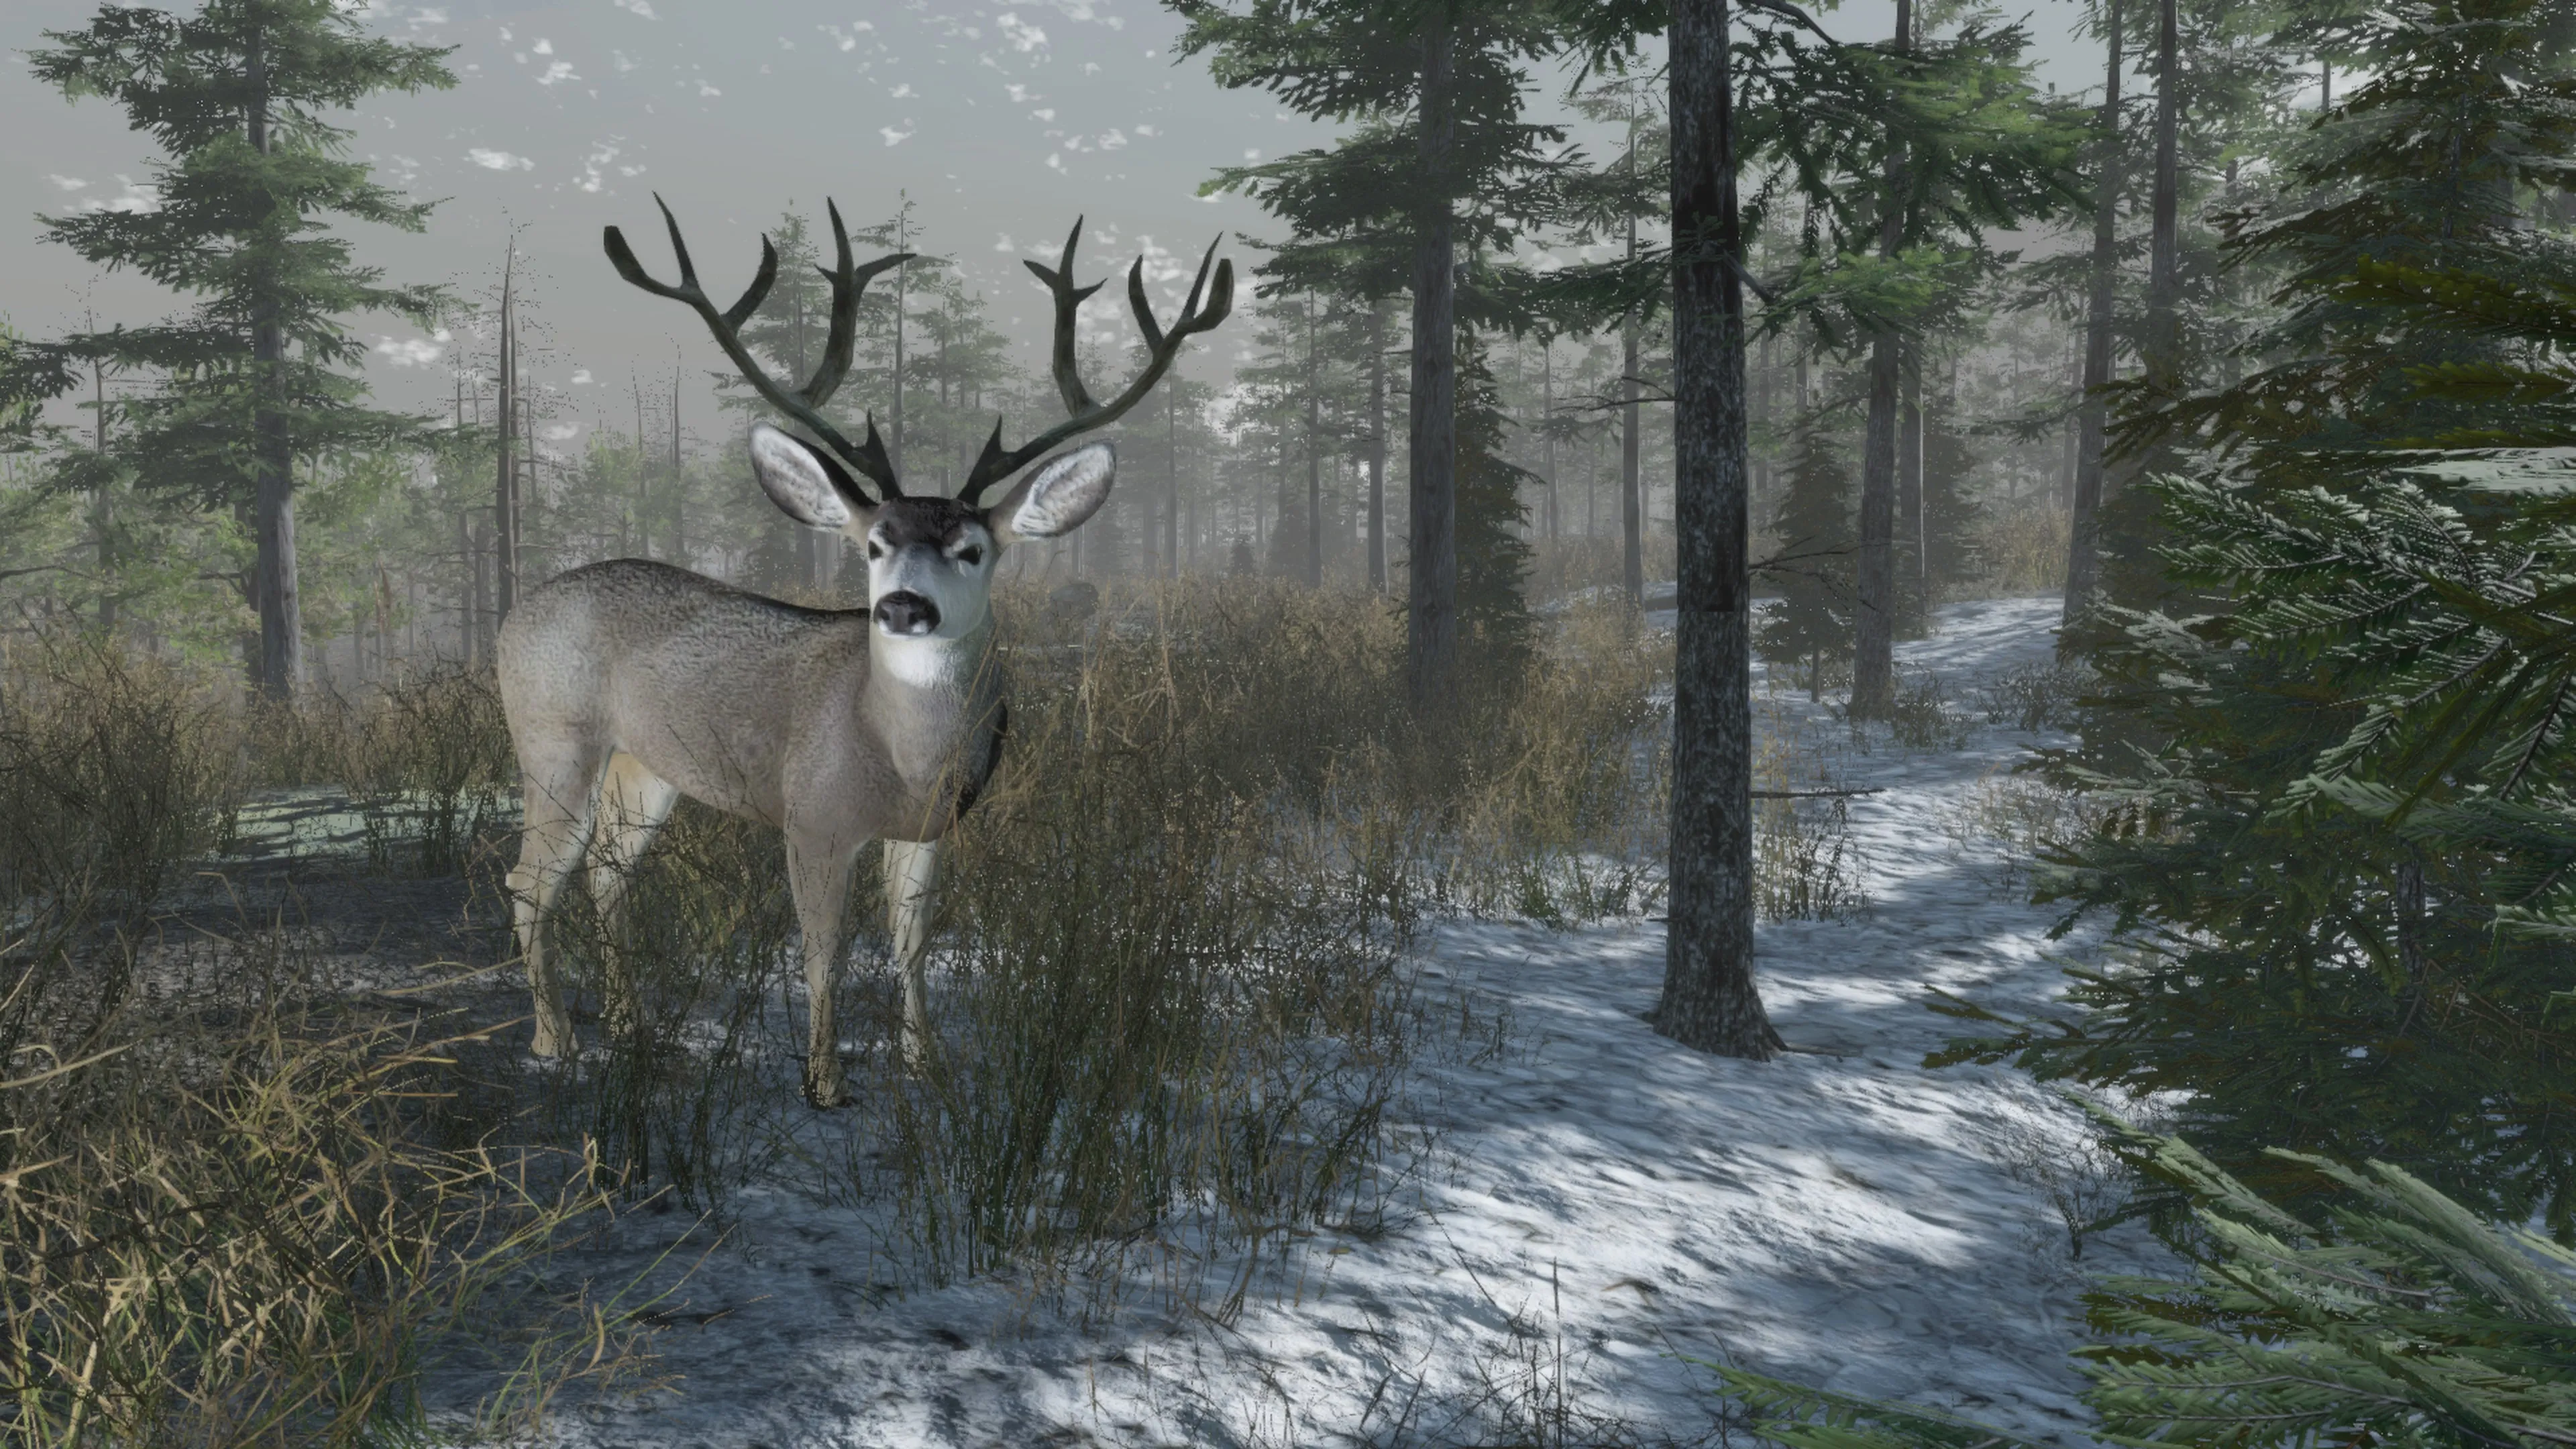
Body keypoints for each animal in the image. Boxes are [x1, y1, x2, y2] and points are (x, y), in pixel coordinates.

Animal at [495, 198, 1231, 1106]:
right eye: (875, 544)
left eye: (972, 550)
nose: (904, 606)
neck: (900, 754)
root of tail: (511, 615)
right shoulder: (813, 817)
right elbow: (825, 952)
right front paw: (825, 1082)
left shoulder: (927, 830)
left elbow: (911, 942)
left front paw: (927, 1063)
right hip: (552, 740)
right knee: (530, 879)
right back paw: (554, 1038)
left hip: (649, 766)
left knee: (606, 870)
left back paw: (629, 1026)